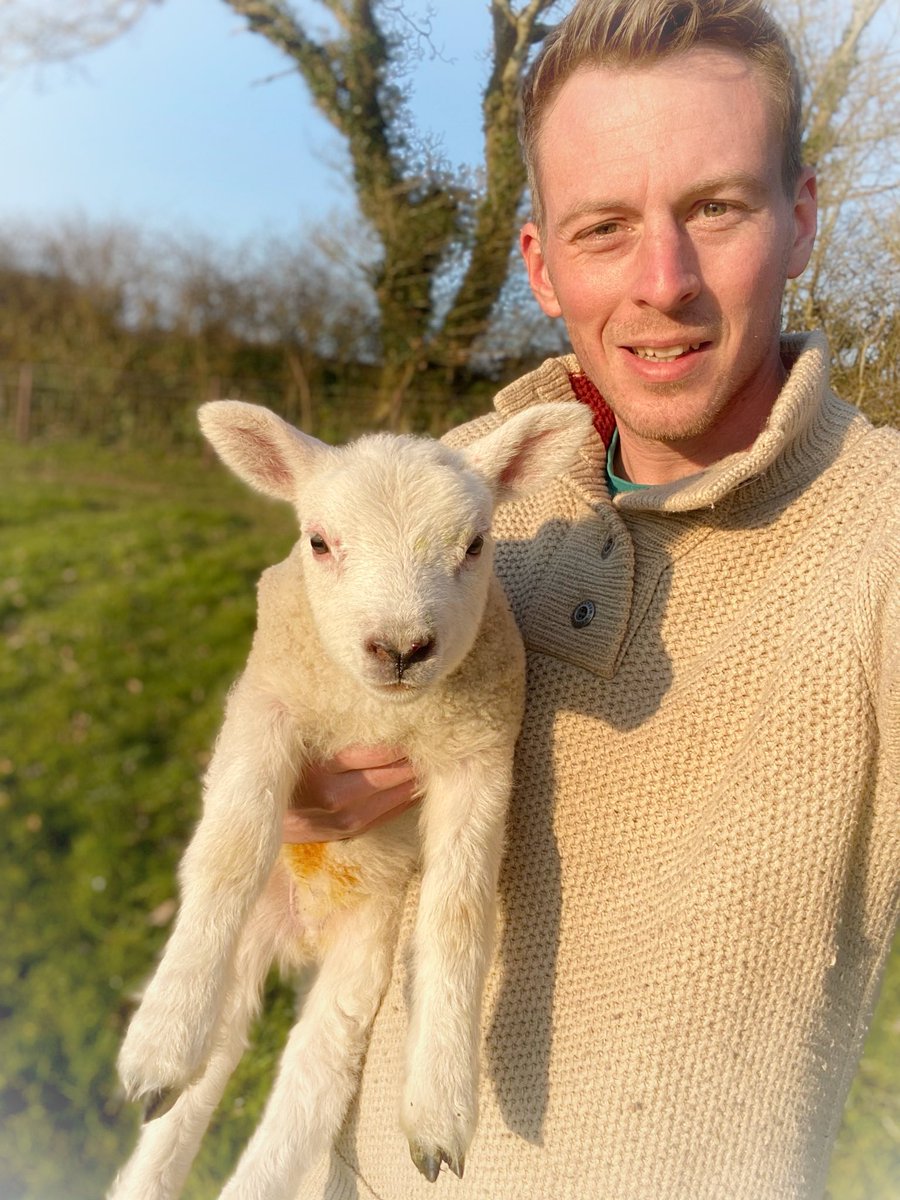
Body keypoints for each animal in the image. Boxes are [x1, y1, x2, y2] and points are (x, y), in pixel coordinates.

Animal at [109, 397, 591, 1200]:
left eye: (476, 545)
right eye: (318, 542)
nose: (401, 648)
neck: (376, 716)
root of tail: (300, 930)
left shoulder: (478, 755)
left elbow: (459, 914)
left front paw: (438, 1111)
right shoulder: (268, 704)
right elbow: (230, 851)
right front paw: (157, 1041)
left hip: (363, 946)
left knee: (315, 1071)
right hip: (254, 932)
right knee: (211, 1062)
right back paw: (168, 1073)